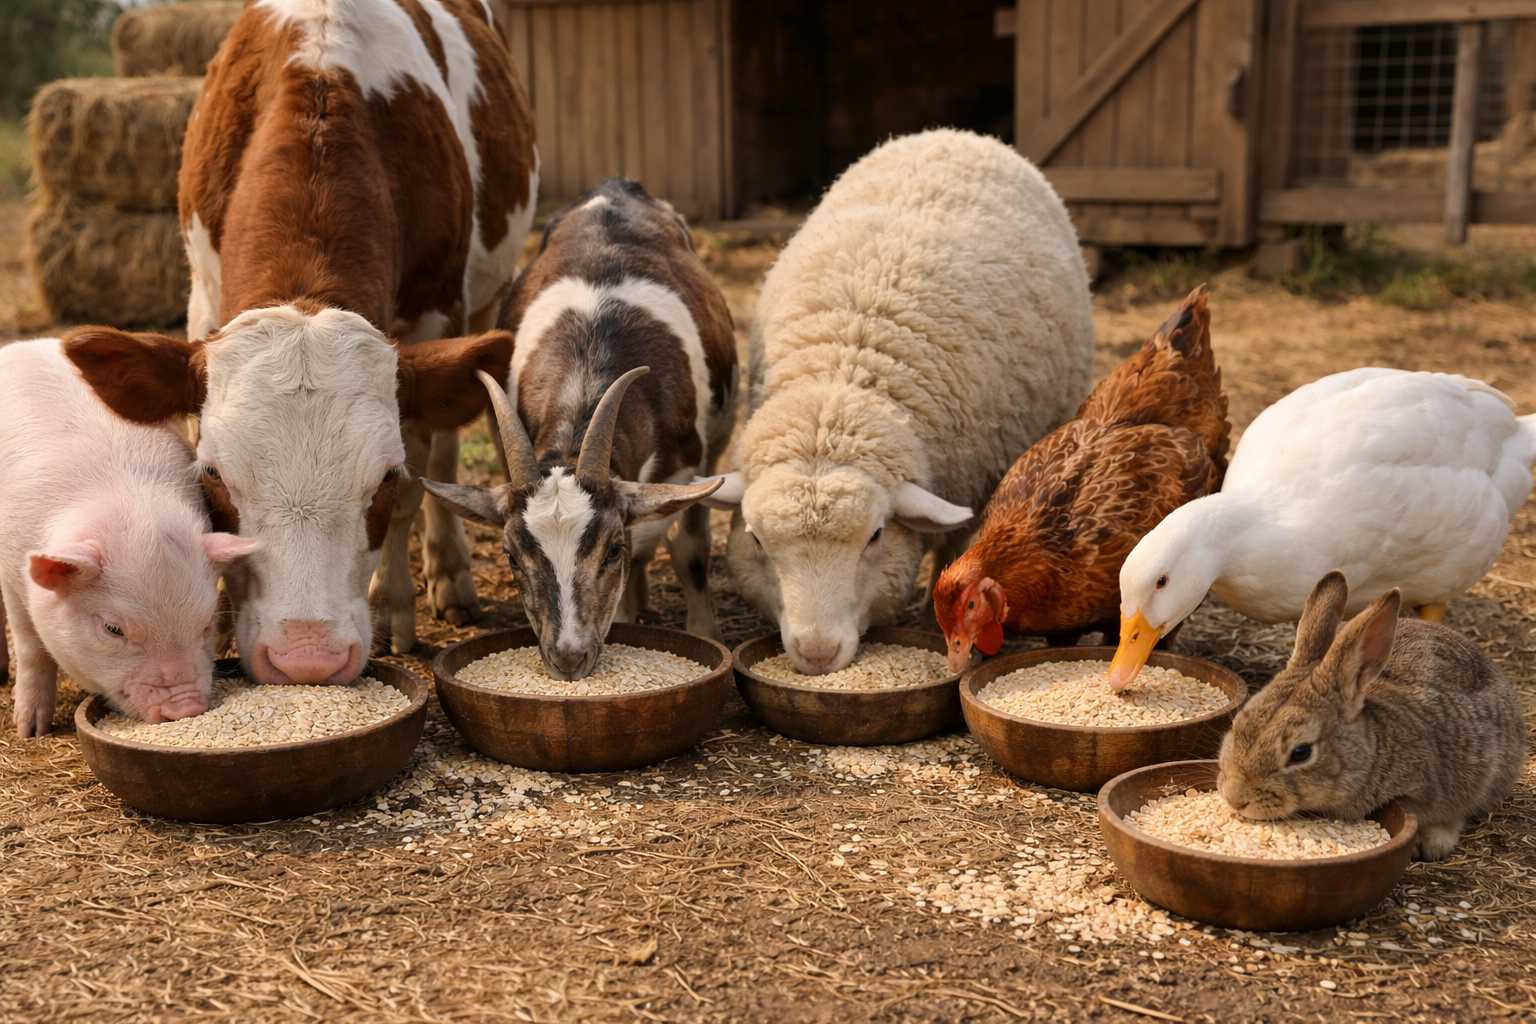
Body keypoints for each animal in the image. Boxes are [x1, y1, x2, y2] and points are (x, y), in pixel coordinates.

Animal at [65, 0, 538, 683]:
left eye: (384, 476)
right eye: (213, 476)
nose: (307, 658)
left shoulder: (435, 313)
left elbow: (419, 474)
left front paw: (392, 604)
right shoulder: (202, 298)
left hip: (476, 301)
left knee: (448, 447)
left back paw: (449, 572)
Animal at [706, 129, 1095, 674]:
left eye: (875, 536)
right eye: (757, 540)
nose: (818, 653)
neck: (843, 377)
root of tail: (954, 134)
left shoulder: (975, 480)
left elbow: (956, 554)